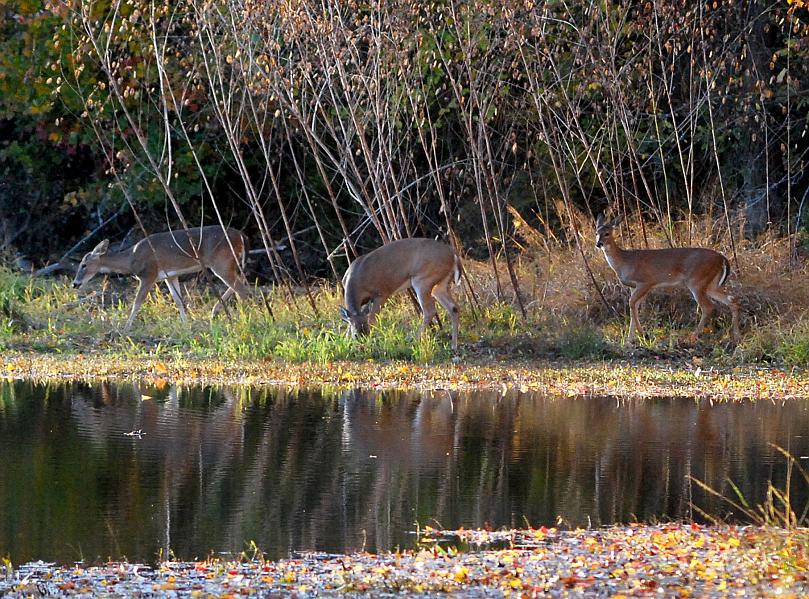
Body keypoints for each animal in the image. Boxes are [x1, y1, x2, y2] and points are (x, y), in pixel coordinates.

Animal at [73, 225, 249, 331]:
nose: (75, 284)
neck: (131, 259)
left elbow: (137, 303)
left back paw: (245, 318)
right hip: (229, 263)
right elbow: (178, 301)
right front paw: (186, 325)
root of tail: (241, 236)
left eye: (83, 265)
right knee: (241, 284)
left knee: (242, 289)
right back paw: (215, 312)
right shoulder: (170, 275)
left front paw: (126, 328)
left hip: (221, 262)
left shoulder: (149, 274)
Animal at [595, 214, 741, 343]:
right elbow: (633, 307)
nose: (598, 244)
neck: (625, 262)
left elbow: (632, 304)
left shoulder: (646, 282)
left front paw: (643, 335)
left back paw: (694, 336)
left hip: (697, 281)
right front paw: (630, 339)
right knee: (731, 300)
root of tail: (723, 259)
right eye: (597, 232)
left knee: (708, 307)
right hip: (711, 284)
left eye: (607, 233)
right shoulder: (634, 287)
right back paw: (736, 335)